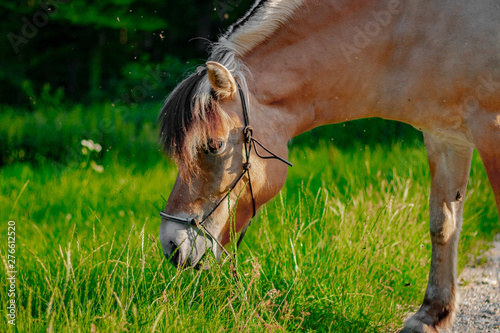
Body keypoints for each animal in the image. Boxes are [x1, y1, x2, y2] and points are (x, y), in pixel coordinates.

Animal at [158, 1, 500, 330]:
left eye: (213, 146)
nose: (171, 244)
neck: (411, 23)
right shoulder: (445, 136)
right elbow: (443, 225)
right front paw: (431, 315)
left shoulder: (489, 129)